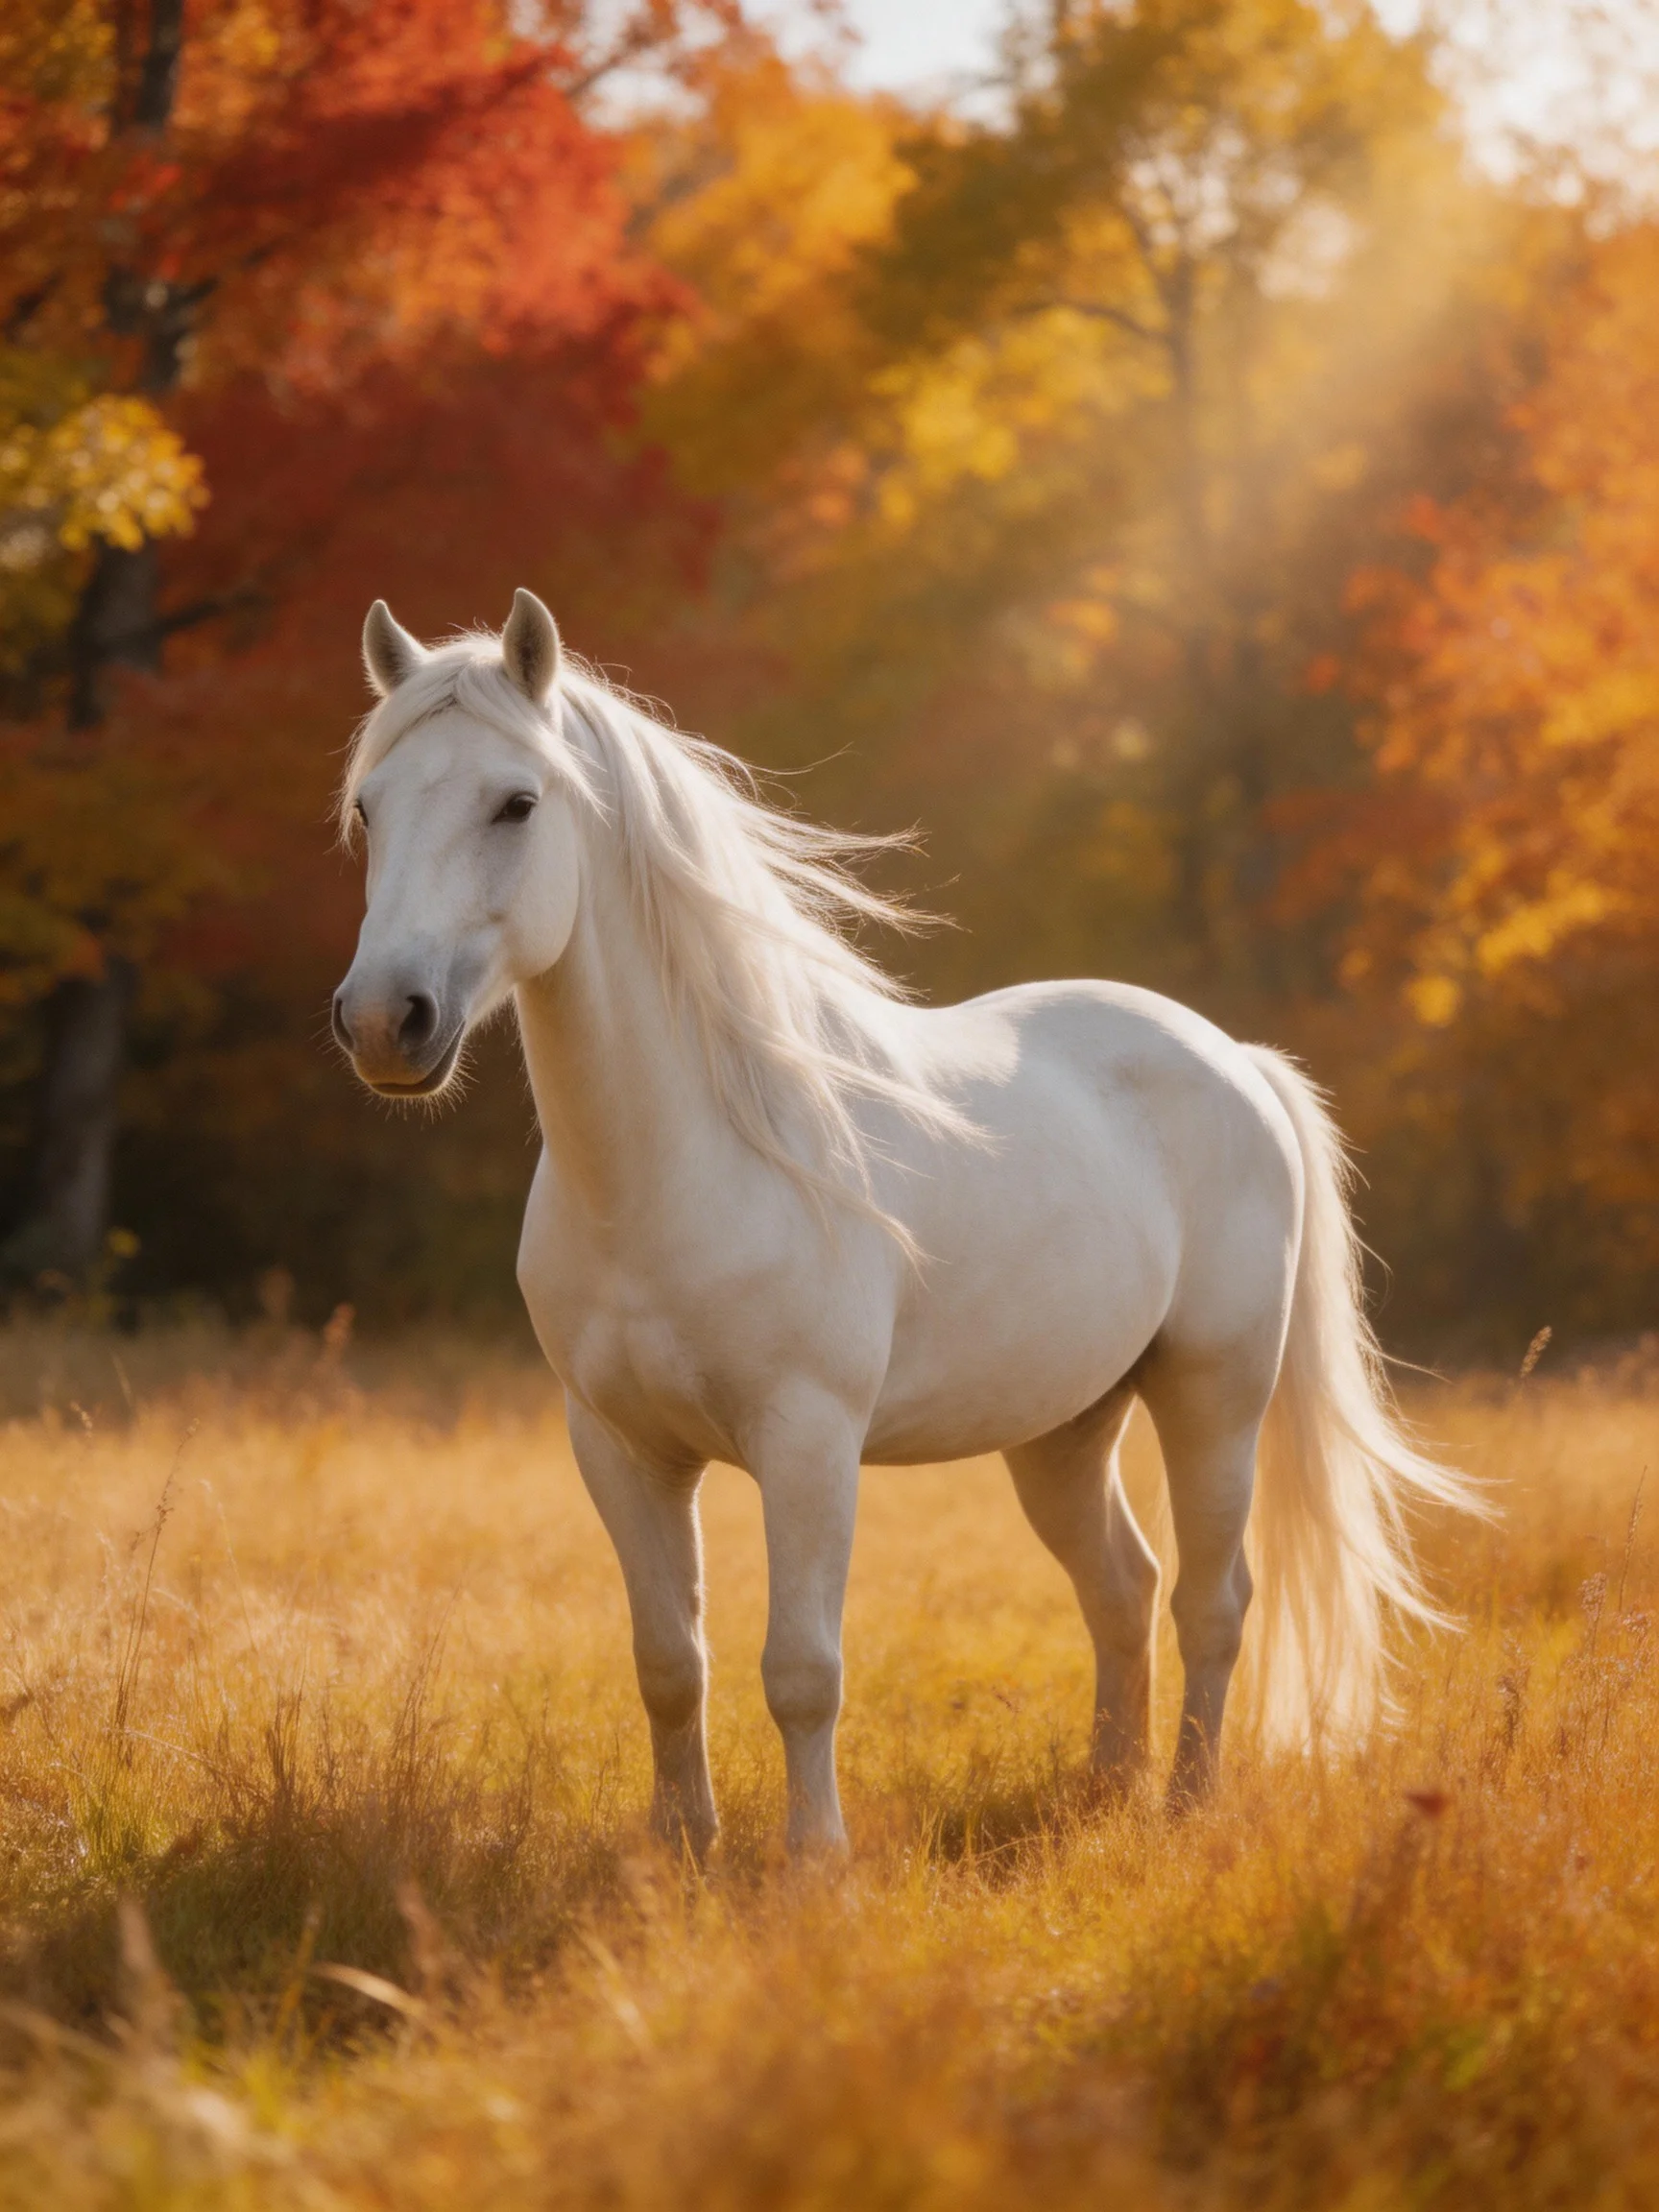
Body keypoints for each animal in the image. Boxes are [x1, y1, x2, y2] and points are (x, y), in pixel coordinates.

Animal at [331, 588, 1475, 1856]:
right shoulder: (620, 1448)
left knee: (1212, 1601)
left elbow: (802, 1669)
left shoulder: (809, 1442)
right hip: (1063, 1428)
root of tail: (1234, 1057)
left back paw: (1184, 1800)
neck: (681, 1169)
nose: (384, 1021)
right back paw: (1106, 1787)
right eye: (370, 809)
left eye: (516, 803)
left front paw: (813, 1864)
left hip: (1213, 1397)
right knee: (1120, 1588)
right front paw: (682, 1850)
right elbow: (669, 1661)